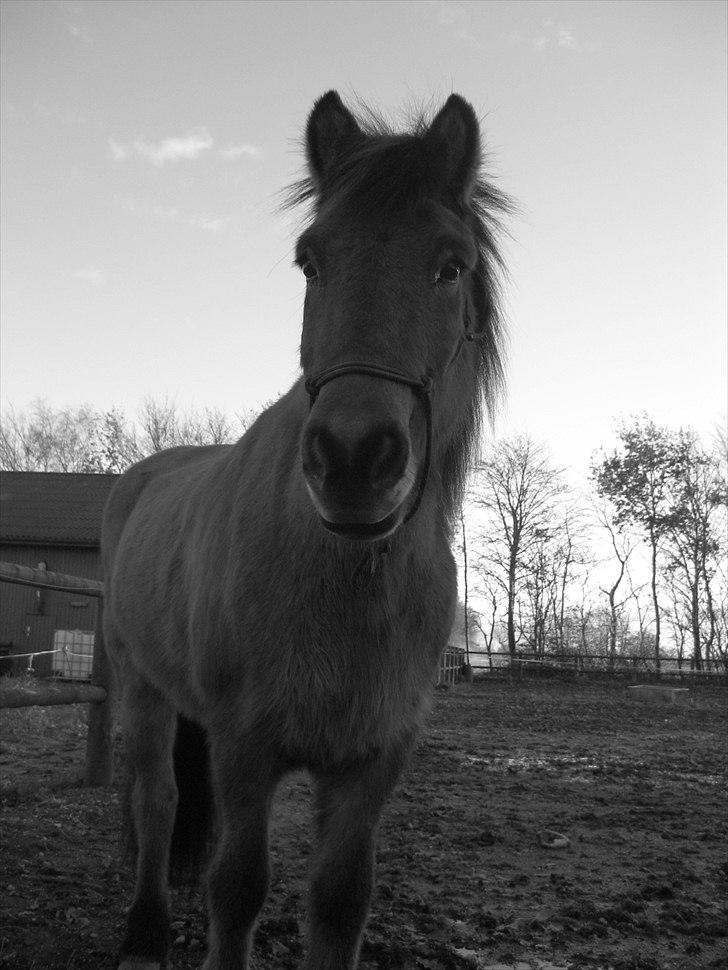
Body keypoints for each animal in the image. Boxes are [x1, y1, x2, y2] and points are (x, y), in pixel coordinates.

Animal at [102, 91, 510, 968]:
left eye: (450, 265)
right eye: (310, 263)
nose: (354, 457)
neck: (344, 575)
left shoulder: (370, 766)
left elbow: (340, 900)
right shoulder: (245, 750)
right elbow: (237, 889)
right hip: (141, 686)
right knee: (156, 801)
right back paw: (145, 931)